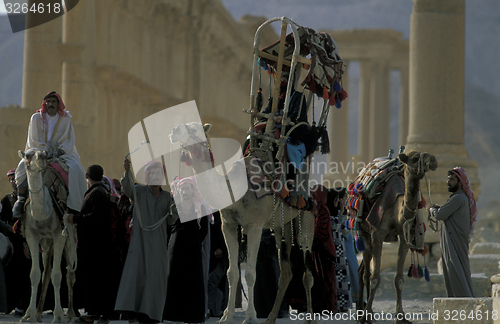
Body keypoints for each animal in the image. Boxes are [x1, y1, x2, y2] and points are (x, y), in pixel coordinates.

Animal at [18, 149, 76, 322]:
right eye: (27, 155)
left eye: (43, 152)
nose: (43, 157)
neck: (43, 212)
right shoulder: (32, 234)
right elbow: (35, 274)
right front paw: (29, 314)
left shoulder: (59, 235)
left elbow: (57, 275)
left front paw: (58, 315)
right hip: (45, 242)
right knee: (46, 271)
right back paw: (38, 313)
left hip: (70, 237)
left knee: (70, 272)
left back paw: (71, 314)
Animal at [169, 122, 316, 324]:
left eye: (196, 127)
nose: (174, 131)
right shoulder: (228, 225)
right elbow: (232, 273)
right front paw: (226, 316)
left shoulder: (255, 226)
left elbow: (251, 273)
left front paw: (251, 316)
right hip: (281, 225)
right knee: (286, 270)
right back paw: (270, 318)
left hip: (306, 217)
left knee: (307, 269)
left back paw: (310, 319)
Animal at [358, 152, 436, 324]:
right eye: (414, 158)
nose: (433, 160)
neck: (397, 212)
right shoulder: (377, 233)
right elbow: (375, 278)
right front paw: (366, 316)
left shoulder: (405, 236)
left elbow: (399, 279)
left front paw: (401, 316)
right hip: (363, 232)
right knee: (366, 273)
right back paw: (364, 313)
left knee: (362, 270)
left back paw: (365, 309)